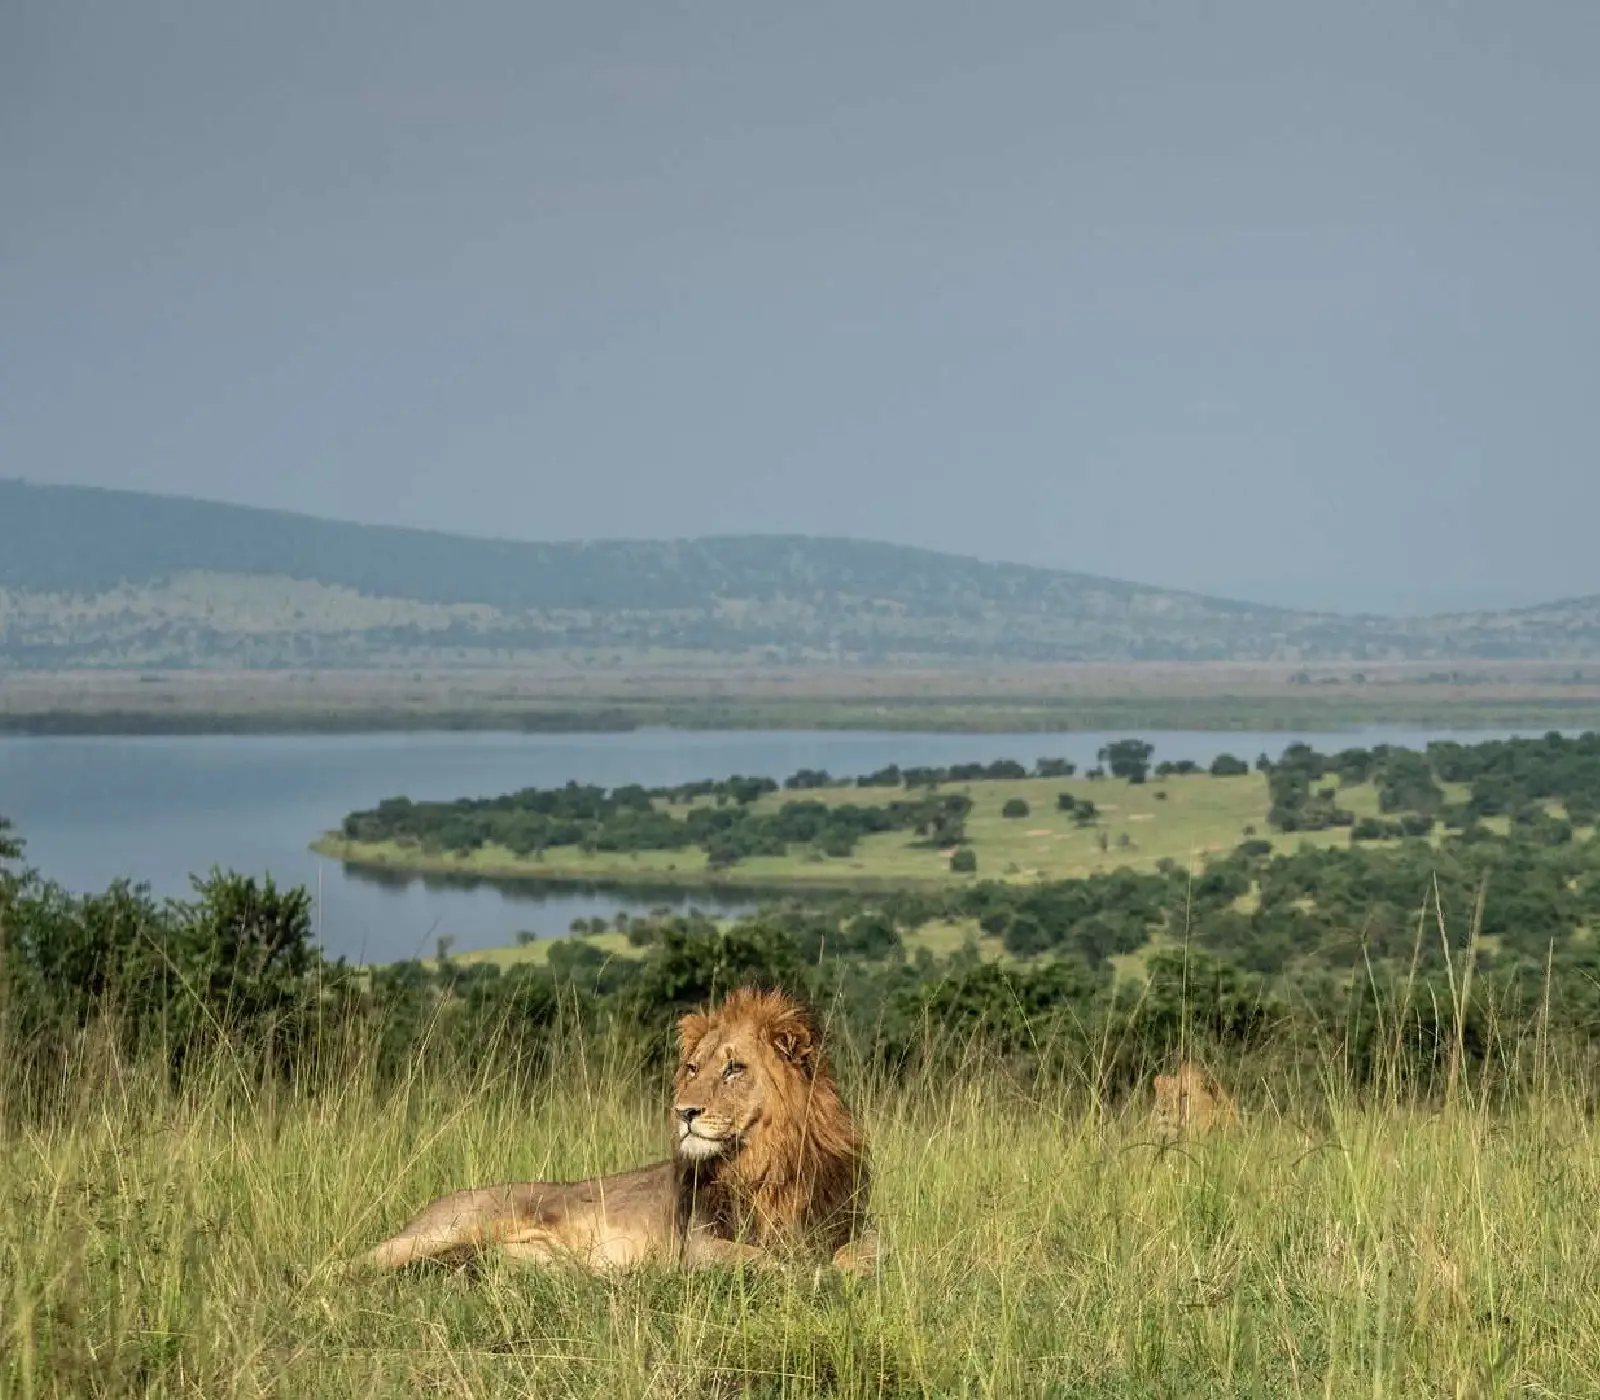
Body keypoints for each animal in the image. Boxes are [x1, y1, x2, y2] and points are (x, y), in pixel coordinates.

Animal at [360, 987, 877, 1275]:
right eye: (693, 1068)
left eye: (734, 1069)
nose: (682, 1111)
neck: (766, 1163)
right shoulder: (696, 1246)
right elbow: (767, 1260)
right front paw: (810, 1273)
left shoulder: (842, 1221)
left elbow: (868, 1251)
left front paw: (847, 1268)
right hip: (452, 1225)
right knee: (361, 1258)